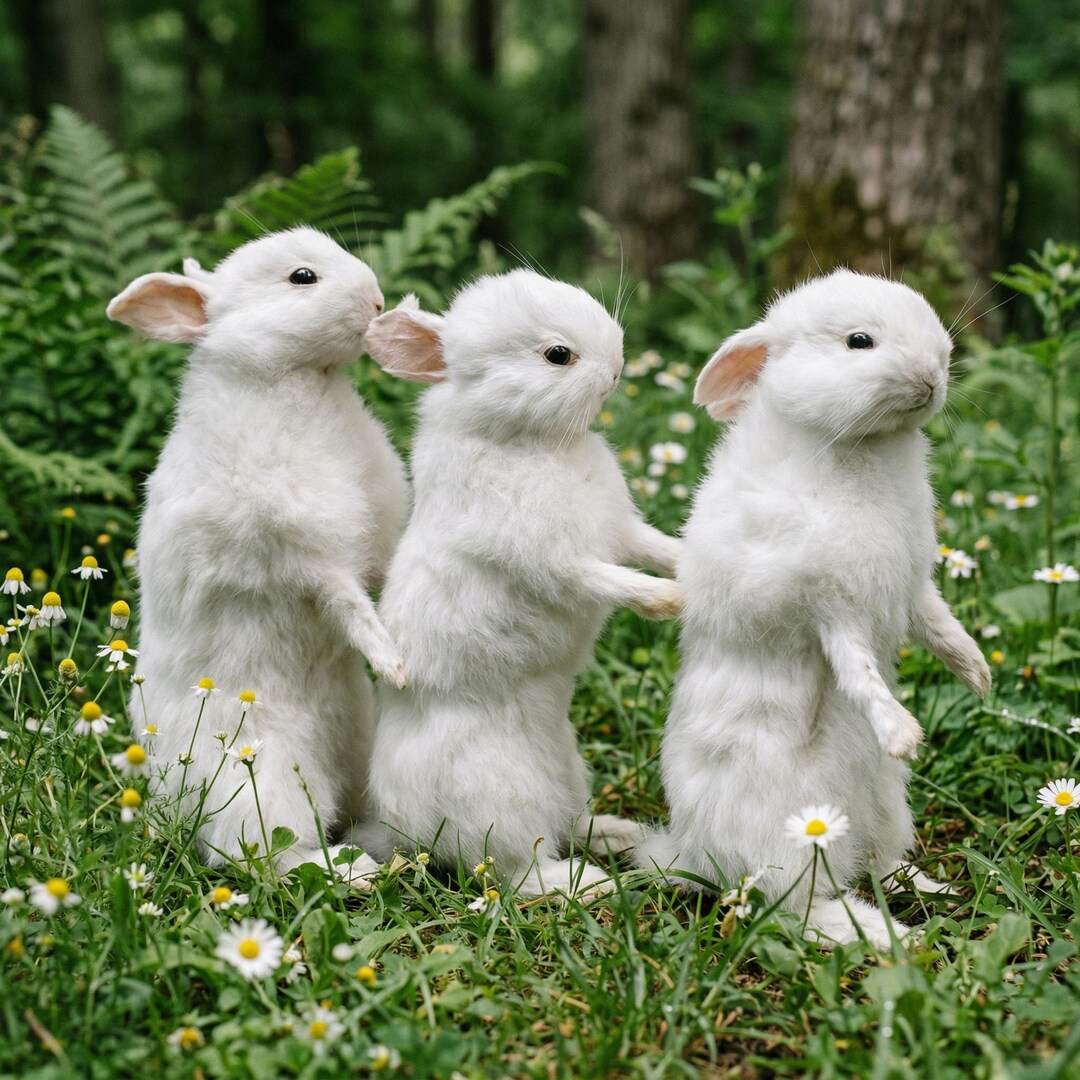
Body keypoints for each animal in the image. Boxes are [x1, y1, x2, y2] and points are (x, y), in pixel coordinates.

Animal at [106, 226, 409, 884]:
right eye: (302, 277)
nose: (377, 300)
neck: (299, 381)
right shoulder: (303, 557)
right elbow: (348, 603)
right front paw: (393, 661)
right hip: (261, 778)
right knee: (260, 857)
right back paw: (352, 870)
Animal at [354, 270, 683, 897]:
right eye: (558, 355)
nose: (617, 366)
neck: (530, 440)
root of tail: (399, 828)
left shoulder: (622, 532)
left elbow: (655, 548)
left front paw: (694, 566)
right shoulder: (555, 560)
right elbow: (608, 580)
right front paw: (668, 602)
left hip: (570, 770)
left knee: (570, 823)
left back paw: (620, 835)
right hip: (498, 798)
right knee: (513, 869)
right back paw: (587, 883)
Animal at [638, 269, 991, 947]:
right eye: (859, 341)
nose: (934, 375)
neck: (858, 447)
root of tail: (691, 854)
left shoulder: (912, 589)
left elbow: (940, 626)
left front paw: (980, 673)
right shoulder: (828, 606)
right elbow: (857, 670)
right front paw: (902, 732)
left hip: (887, 809)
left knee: (877, 864)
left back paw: (934, 891)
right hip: (796, 837)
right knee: (793, 907)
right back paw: (885, 935)